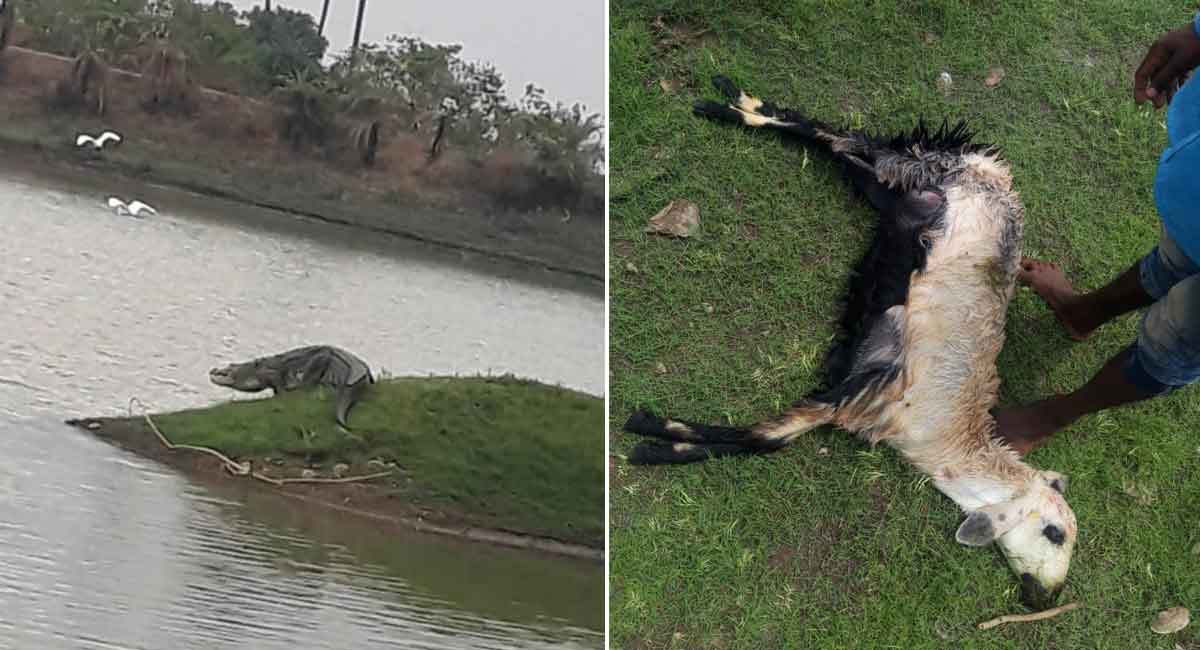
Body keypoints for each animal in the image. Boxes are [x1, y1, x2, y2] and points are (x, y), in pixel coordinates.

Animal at [623, 75, 1078, 611]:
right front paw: (649, 435)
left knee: (837, 146)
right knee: (838, 136)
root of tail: (997, 171)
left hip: (895, 191)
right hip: (923, 163)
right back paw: (727, 103)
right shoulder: (864, 382)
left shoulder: (855, 389)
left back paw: (738, 105)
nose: (1044, 597)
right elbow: (768, 438)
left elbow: (769, 438)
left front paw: (656, 439)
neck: (939, 436)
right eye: (1055, 533)